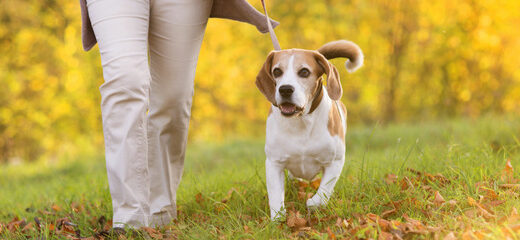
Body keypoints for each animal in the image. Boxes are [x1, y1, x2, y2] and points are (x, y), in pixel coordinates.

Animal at [255, 39, 362, 221]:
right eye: (277, 71)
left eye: (304, 72)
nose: (285, 89)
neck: (301, 121)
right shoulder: (274, 163)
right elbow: (275, 195)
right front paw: (277, 218)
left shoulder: (335, 161)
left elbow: (324, 190)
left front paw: (313, 203)